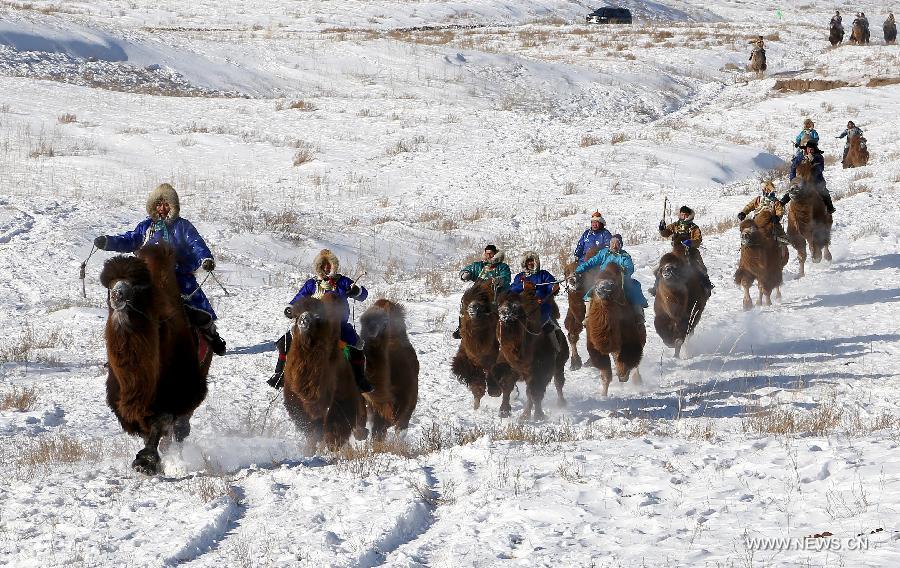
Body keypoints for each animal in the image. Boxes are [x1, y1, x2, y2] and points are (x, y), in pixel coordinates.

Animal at [100, 244, 211, 475]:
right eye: (109, 286)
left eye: (137, 288)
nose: (117, 295)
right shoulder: (126, 402)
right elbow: (144, 428)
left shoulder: (175, 392)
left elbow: (161, 421)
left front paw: (146, 462)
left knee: (181, 427)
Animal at [283, 295, 367, 453]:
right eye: (296, 315)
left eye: (317, 316)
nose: (304, 320)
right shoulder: (295, 395)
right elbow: (309, 424)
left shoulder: (340, 396)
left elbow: (335, 421)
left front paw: (332, 444)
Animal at [451, 280, 502, 410]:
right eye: (465, 301)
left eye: (483, 303)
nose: (473, 307)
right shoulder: (471, 362)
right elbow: (476, 381)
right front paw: (476, 403)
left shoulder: (493, 359)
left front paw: (495, 392)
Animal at [493, 283, 566, 421]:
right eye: (499, 306)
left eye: (516, 307)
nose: (506, 316)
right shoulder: (510, 367)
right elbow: (507, 386)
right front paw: (504, 411)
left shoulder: (539, 370)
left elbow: (536, 392)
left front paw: (538, 415)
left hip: (560, 362)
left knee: (558, 381)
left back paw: (561, 403)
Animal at [584, 263, 645, 397]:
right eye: (596, 286)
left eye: (613, 286)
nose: (604, 290)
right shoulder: (595, 346)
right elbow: (605, 372)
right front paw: (603, 395)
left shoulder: (630, 340)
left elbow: (626, 362)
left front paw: (624, 375)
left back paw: (636, 380)